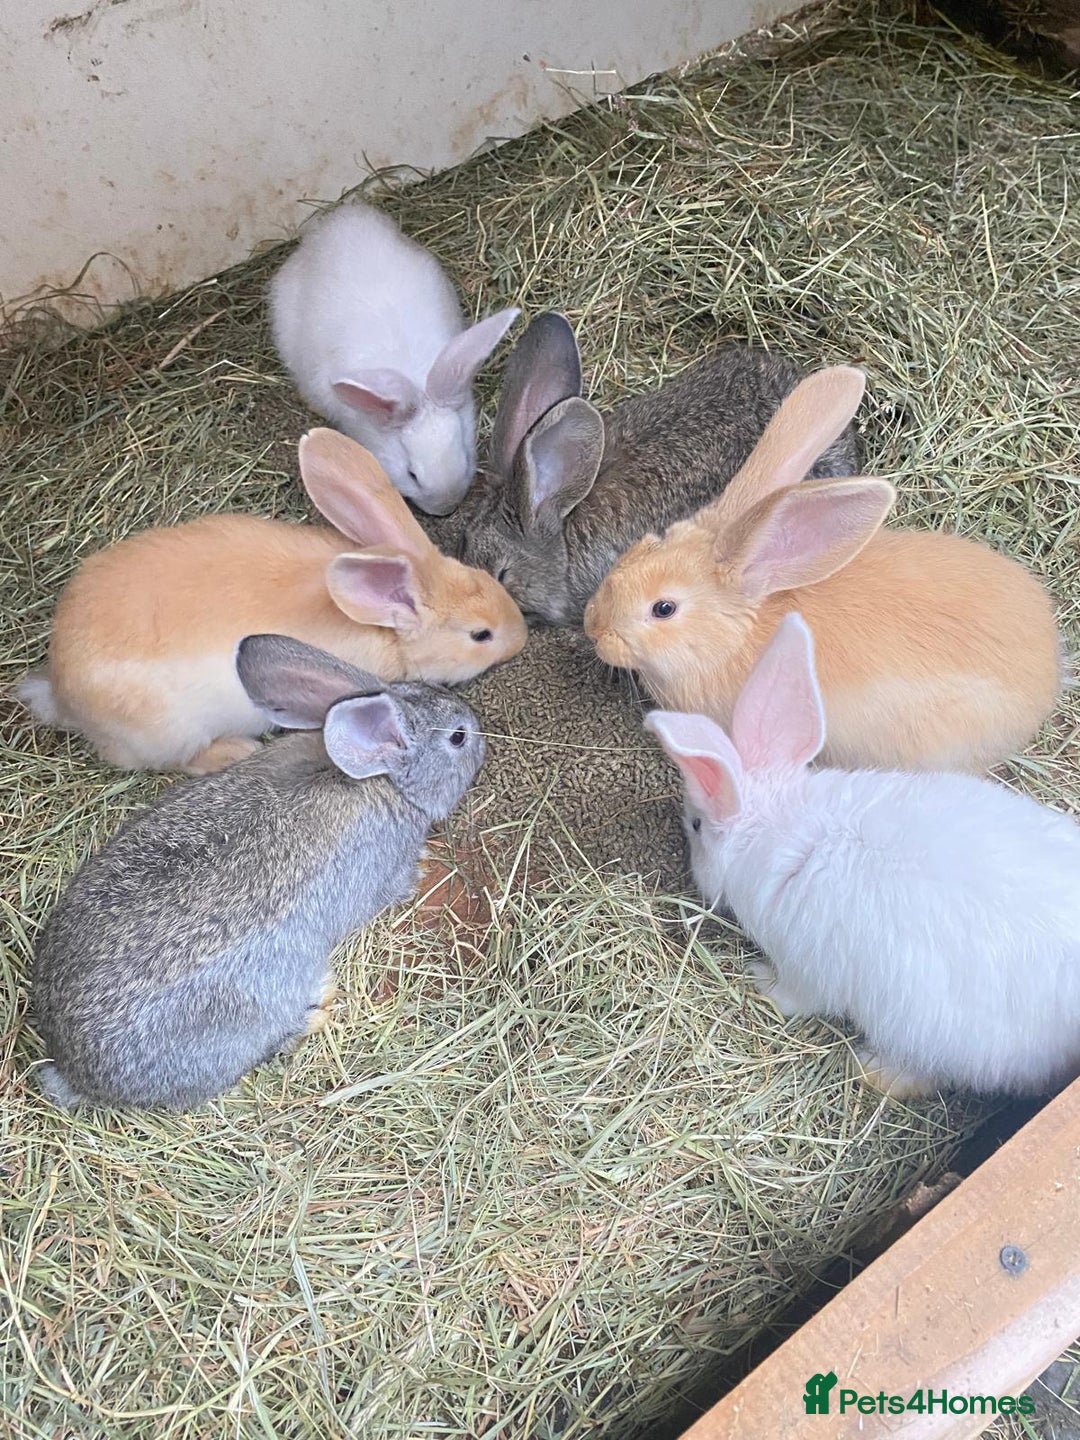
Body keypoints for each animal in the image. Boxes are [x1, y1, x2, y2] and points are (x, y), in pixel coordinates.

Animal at [17, 428, 526, 775]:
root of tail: (61, 690)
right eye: (481, 634)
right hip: (170, 731)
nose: (521, 637)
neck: (383, 625)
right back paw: (236, 751)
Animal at [646, 612, 1080, 1098]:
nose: (693, 873)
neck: (785, 827)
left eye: (697, 825)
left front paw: (759, 980)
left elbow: (795, 997)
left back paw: (874, 1069)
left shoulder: (805, 966)